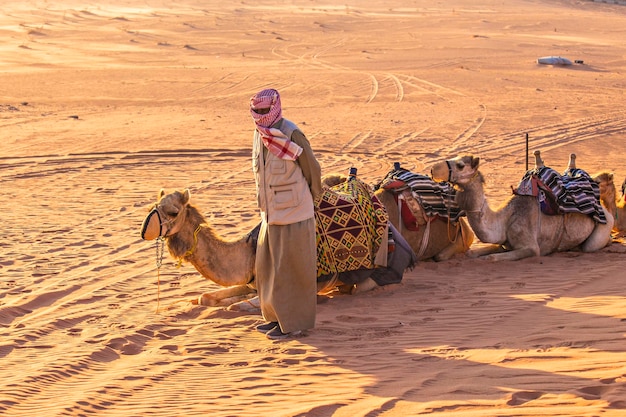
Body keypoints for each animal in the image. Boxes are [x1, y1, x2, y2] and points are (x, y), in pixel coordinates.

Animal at [141, 185, 414, 306]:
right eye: (154, 205)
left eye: (173, 211)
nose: (145, 229)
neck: (249, 250)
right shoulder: (250, 281)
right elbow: (206, 297)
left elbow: (237, 305)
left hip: (379, 274)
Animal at [426, 150, 612, 260]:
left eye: (460, 165)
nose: (433, 169)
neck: (503, 221)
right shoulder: (503, 243)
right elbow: (472, 253)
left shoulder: (531, 247)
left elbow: (491, 258)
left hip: (604, 226)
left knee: (590, 246)